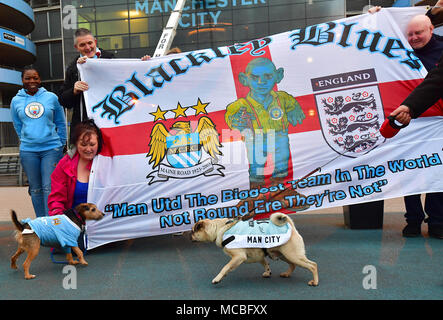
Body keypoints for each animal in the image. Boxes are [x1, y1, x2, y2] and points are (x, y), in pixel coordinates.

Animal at [191, 212, 320, 284]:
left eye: (193, 231)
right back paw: (287, 274)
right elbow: (265, 264)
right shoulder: (259, 256)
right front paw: (268, 272)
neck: (220, 228)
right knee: (293, 265)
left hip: (293, 255)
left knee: (313, 265)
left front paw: (218, 278)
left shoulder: (238, 257)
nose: (190, 235)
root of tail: (291, 227)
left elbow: (225, 267)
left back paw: (315, 282)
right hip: (284, 255)